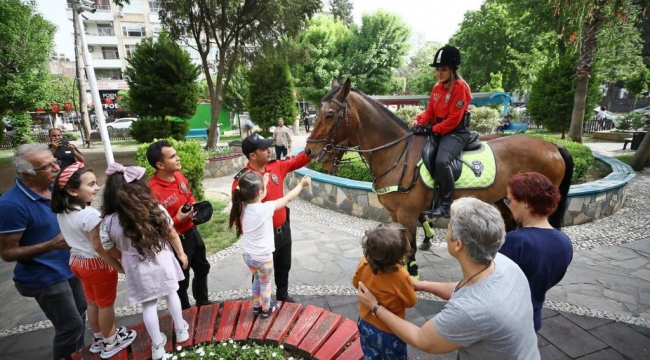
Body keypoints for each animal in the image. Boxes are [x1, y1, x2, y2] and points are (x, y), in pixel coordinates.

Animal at [304, 78, 572, 276]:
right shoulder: (395, 214)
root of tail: (553, 146)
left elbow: (410, 250)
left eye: (330, 114)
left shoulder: (408, 214)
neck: (398, 153)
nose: (309, 151)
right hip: (502, 199)